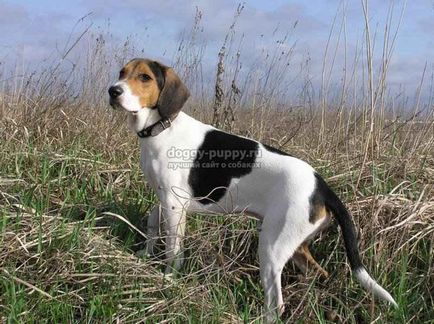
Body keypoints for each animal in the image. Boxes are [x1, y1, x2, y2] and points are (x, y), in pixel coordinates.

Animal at [107, 57, 396, 318]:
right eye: (121, 72)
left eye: (144, 77)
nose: (113, 91)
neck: (161, 127)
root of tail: (321, 185)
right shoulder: (162, 199)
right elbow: (151, 223)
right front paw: (145, 255)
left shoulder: (174, 205)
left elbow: (172, 250)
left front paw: (168, 279)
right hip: (295, 246)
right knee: (319, 274)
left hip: (271, 247)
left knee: (276, 305)